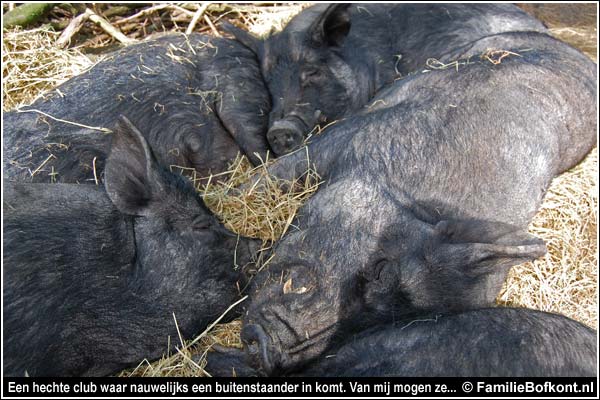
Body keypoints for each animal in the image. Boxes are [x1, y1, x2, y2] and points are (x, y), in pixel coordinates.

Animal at [219, 31, 596, 376]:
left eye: (374, 325)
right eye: (382, 272)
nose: (266, 354)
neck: (414, 200)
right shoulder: (353, 135)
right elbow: (269, 178)